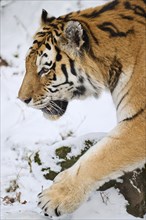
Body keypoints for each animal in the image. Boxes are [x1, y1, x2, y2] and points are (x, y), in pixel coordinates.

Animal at [17, 0, 145, 217]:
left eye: (45, 69)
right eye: (27, 66)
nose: (22, 99)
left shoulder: (139, 122)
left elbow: (98, 157)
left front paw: (54, 197)